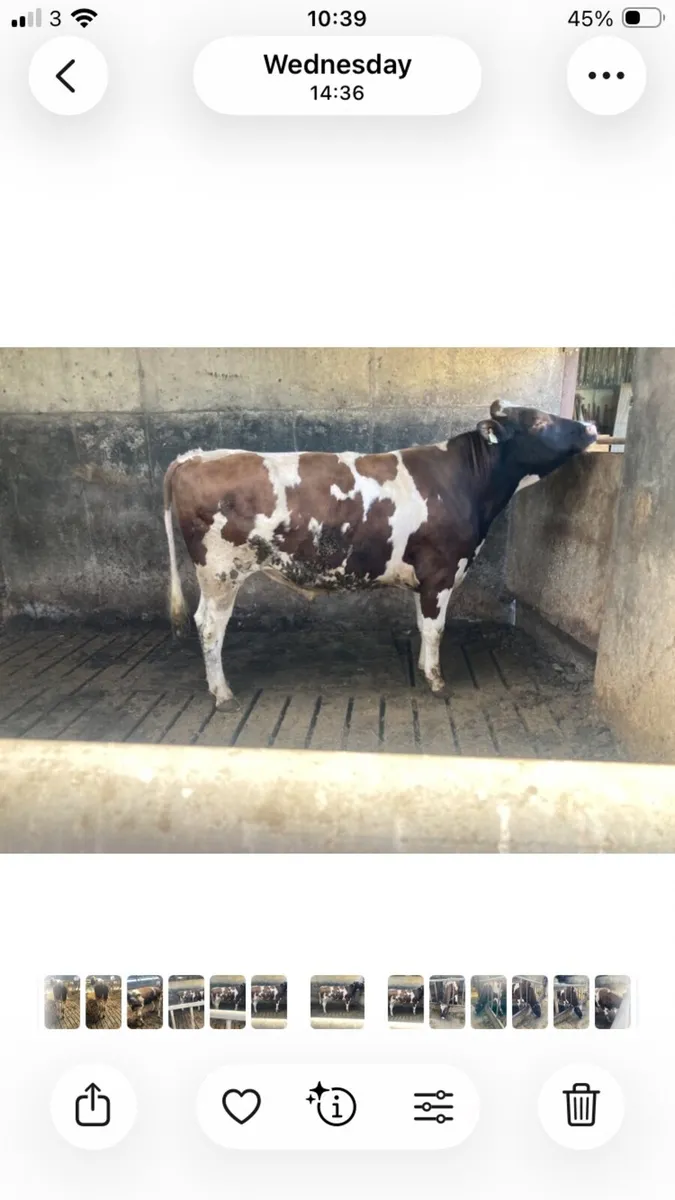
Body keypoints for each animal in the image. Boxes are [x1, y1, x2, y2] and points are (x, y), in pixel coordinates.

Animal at [162, 403, 597, 708]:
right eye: (539, 422)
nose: (591, 427)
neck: (467, 483)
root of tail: (196, 456)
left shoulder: (425, 577)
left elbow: (422, 625)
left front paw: (422, 668)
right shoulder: (441, 573)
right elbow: (436, 628)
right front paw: (437, 680)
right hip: (221, 572)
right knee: (209, 626)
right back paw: (222, 693)